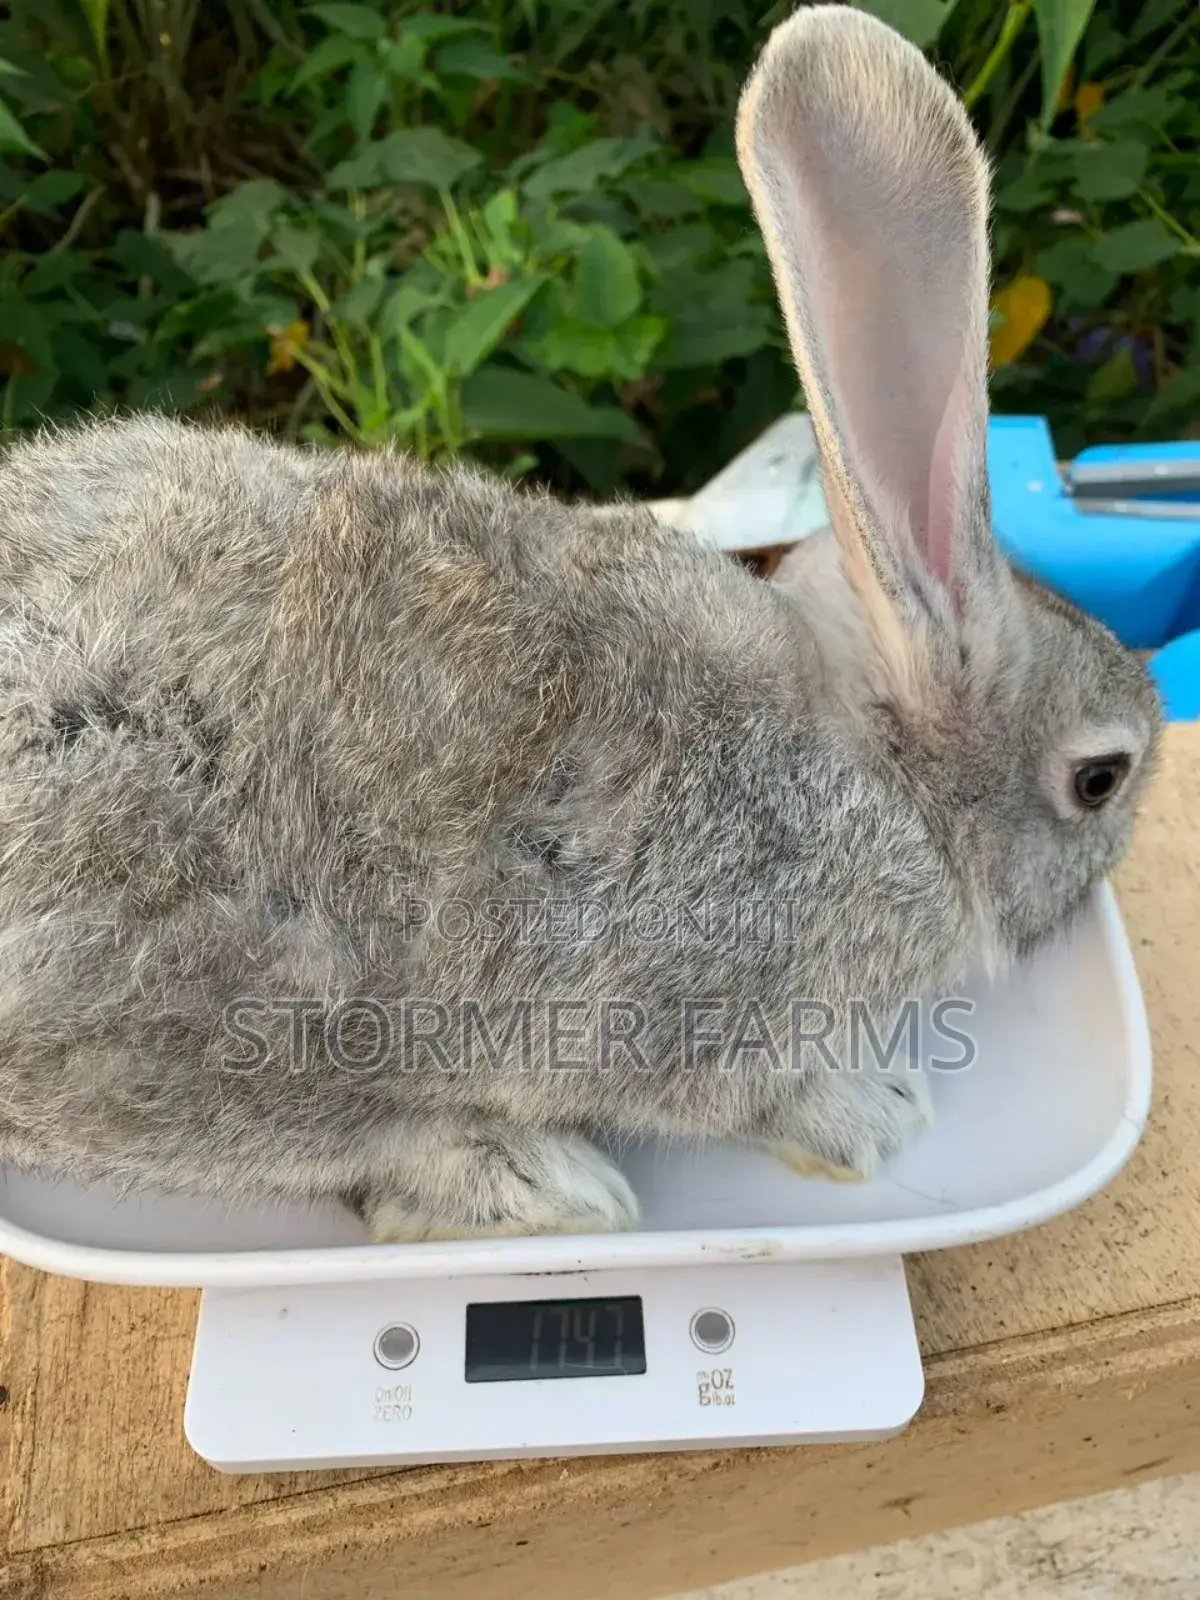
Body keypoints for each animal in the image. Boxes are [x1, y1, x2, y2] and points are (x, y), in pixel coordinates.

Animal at [0, 4, 1161, 1243]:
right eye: (1099, 777)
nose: (1121, 826)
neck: (887, 783)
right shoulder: (696, 1006)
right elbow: (752, 1087)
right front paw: (869, 1113)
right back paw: (531, 1179)